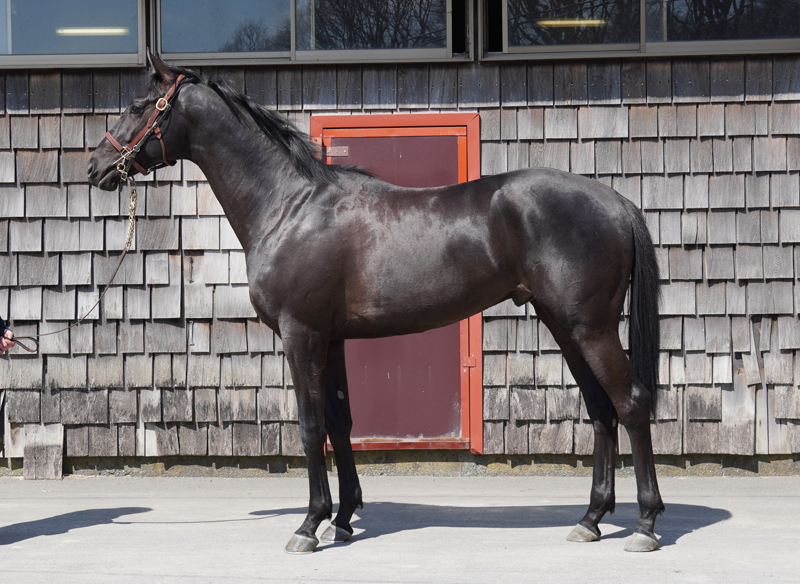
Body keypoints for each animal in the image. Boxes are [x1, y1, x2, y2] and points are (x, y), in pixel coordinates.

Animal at [88, 53, 664, 554]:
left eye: (138, 105)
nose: (95, 165)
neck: (289, 205)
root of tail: (616, 200)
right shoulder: (332, 339)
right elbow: (341, 423)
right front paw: (343, 519)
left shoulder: (301, 335)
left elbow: (311, 426)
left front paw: (309, 525)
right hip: (564, 325)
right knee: (601, 410)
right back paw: (590, 520)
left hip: (590, 328)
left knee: (631, 403)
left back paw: (645, 524)